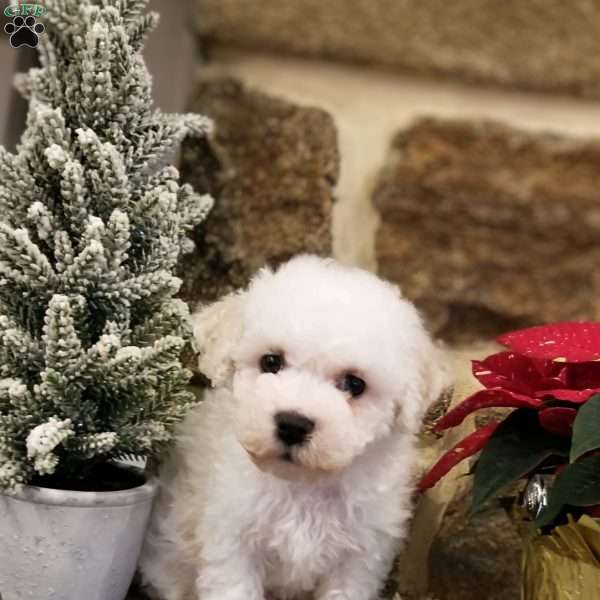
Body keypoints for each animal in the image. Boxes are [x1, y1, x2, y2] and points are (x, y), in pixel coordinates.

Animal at [139, 255, 446, 600]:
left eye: (355, 384)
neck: (303, 486)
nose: (293, 424)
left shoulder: (358, 559)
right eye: (271, 362)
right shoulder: (234, 541)